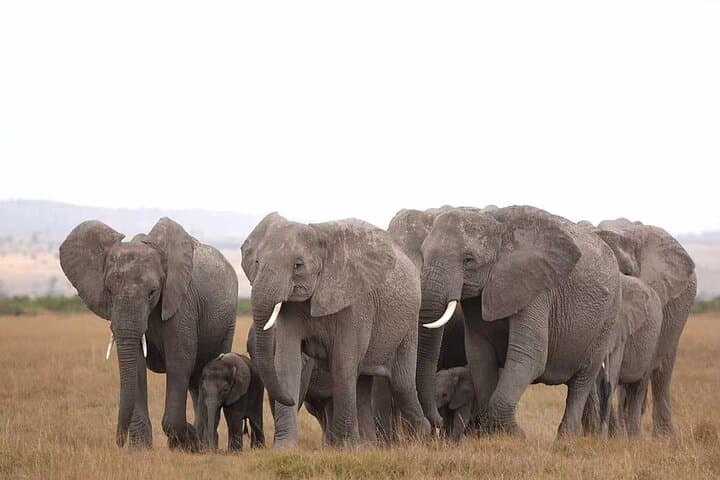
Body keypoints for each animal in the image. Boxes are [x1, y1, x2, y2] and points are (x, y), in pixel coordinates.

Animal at [59, 218, 238, 450]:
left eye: (152, 292)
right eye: (109, 291)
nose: (118, 441)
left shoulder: (181, 303)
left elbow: (179, 363)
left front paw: (185, 439)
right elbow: (136, 367)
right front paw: (140, 449)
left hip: (228, 322)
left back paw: (204, 445)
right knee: (196, 381)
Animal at [240, 213, 430, 446]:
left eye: (298, 265)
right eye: (257, 262)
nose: (292, 399)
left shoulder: (355, 302)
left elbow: (342, 363)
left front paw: (344, 447)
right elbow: (287, 362)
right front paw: (284, 448)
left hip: (410, 320)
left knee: (401, 382)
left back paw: (423, 436)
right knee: (363, 384)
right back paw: (367, 445)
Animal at [416, 206, 622, 437]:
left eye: (468, 260)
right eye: (423, 255)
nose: (438, 423)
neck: (497, 229)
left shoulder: (536, 289)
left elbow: (530, 355)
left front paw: (518, 435)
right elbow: (479, 354)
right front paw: (492, 436)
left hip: (608, 316)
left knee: (583, 378)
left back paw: (566, 438)